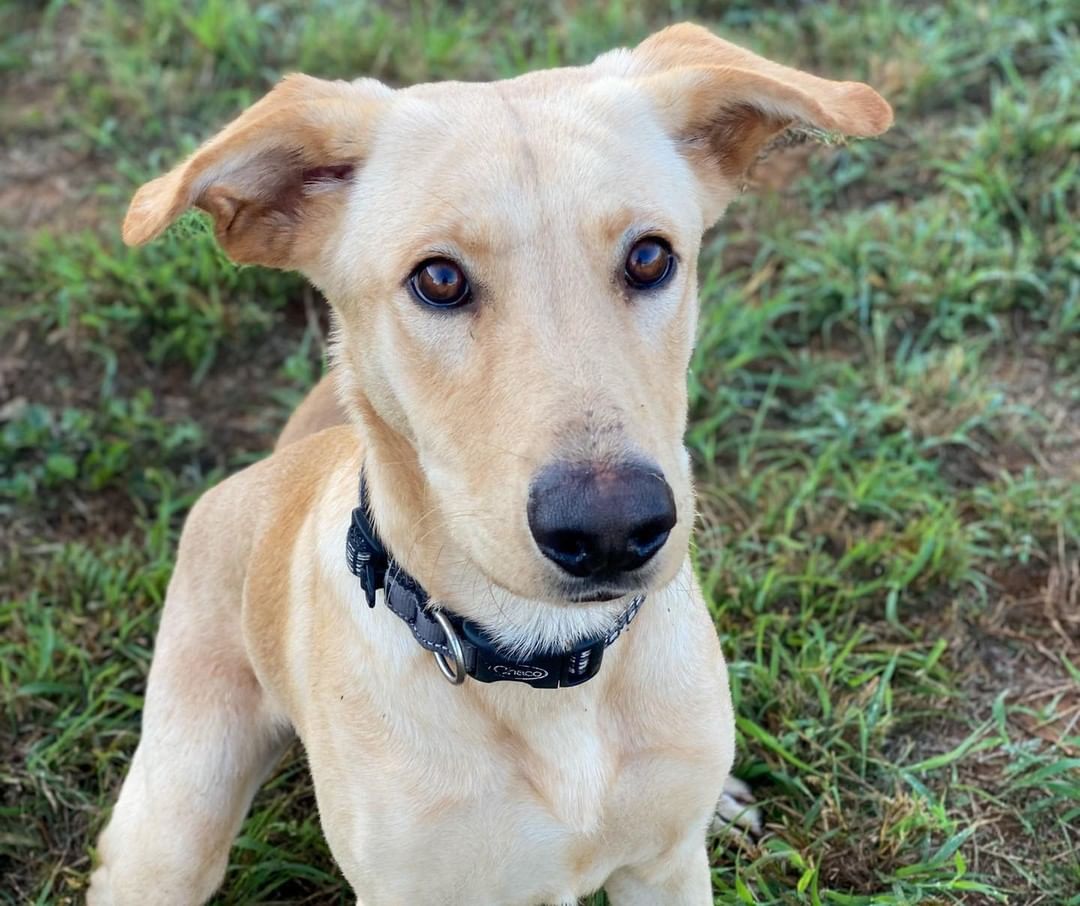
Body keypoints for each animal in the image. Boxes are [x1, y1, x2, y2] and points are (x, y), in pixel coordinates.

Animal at [88, 23, 889, 906]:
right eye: (438, 278)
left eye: (650, 258)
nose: (611, 531)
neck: (548, 665)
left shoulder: (666, 868)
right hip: (172, 829)